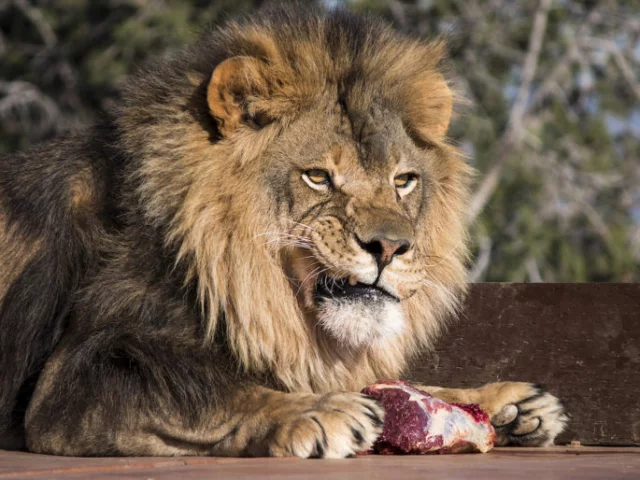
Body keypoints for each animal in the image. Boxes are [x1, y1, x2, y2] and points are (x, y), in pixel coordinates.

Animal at [0, 7, 568, 458]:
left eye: (403, 181)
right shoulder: (73, 380)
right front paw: (320, 410)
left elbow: (396, 383)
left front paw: (504, 402)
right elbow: (211, 390)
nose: (390, 246)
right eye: (317, 176)